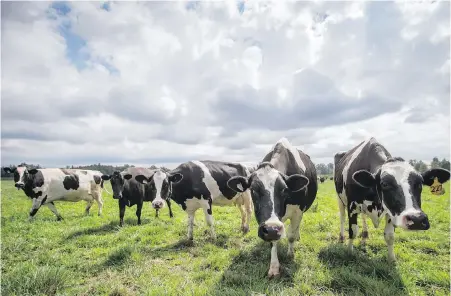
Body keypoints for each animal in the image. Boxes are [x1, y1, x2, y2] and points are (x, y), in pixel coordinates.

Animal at [226, 138, 318, 278]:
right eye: (253, 190)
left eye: (284, 189)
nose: (271, 229)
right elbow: (273, 242)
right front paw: (274, 267)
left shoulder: (298, 211)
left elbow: (291, 235)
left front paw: (290, 254)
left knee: (295, 229)